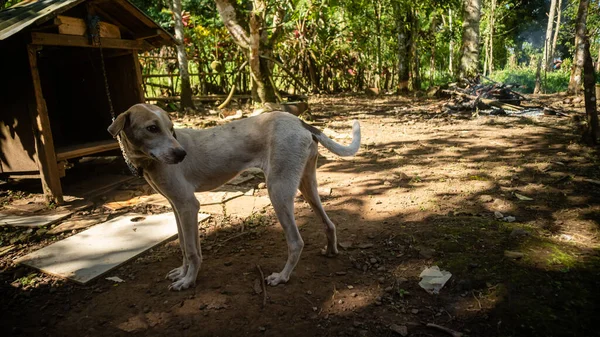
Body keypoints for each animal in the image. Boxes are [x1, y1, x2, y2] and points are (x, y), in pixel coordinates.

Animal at [108, 103, 360, 290]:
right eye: (152, 128)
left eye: (171, 129)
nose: (181, 154)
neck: (148, 161)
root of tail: (300, 121)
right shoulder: (176, 206)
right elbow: (183, 244)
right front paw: (182, 273)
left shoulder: (188, 205)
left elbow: (191, 250)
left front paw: (188, 281)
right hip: (307, 186)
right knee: (329, 224)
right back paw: (331, 251)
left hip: (278, 191)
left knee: (296, 242)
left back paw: (282, 277)